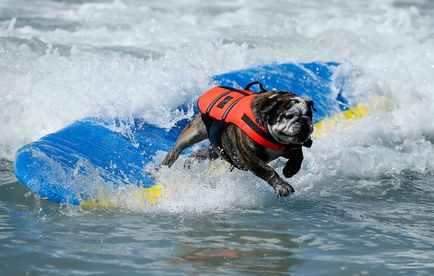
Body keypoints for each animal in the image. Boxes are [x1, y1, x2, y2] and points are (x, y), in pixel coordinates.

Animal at [161, 83, 314, 197]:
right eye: (288, 116)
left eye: (309, 114)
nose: (304, 121)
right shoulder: (250, 157)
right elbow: (268, 171)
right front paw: (283, 187)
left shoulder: (292, 146)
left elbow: (299, 155)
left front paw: (290, 169)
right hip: (193, 132)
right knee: (177, 149)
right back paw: (162, 168)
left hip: (216, 149)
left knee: (202, 153)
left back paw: (190, 161)